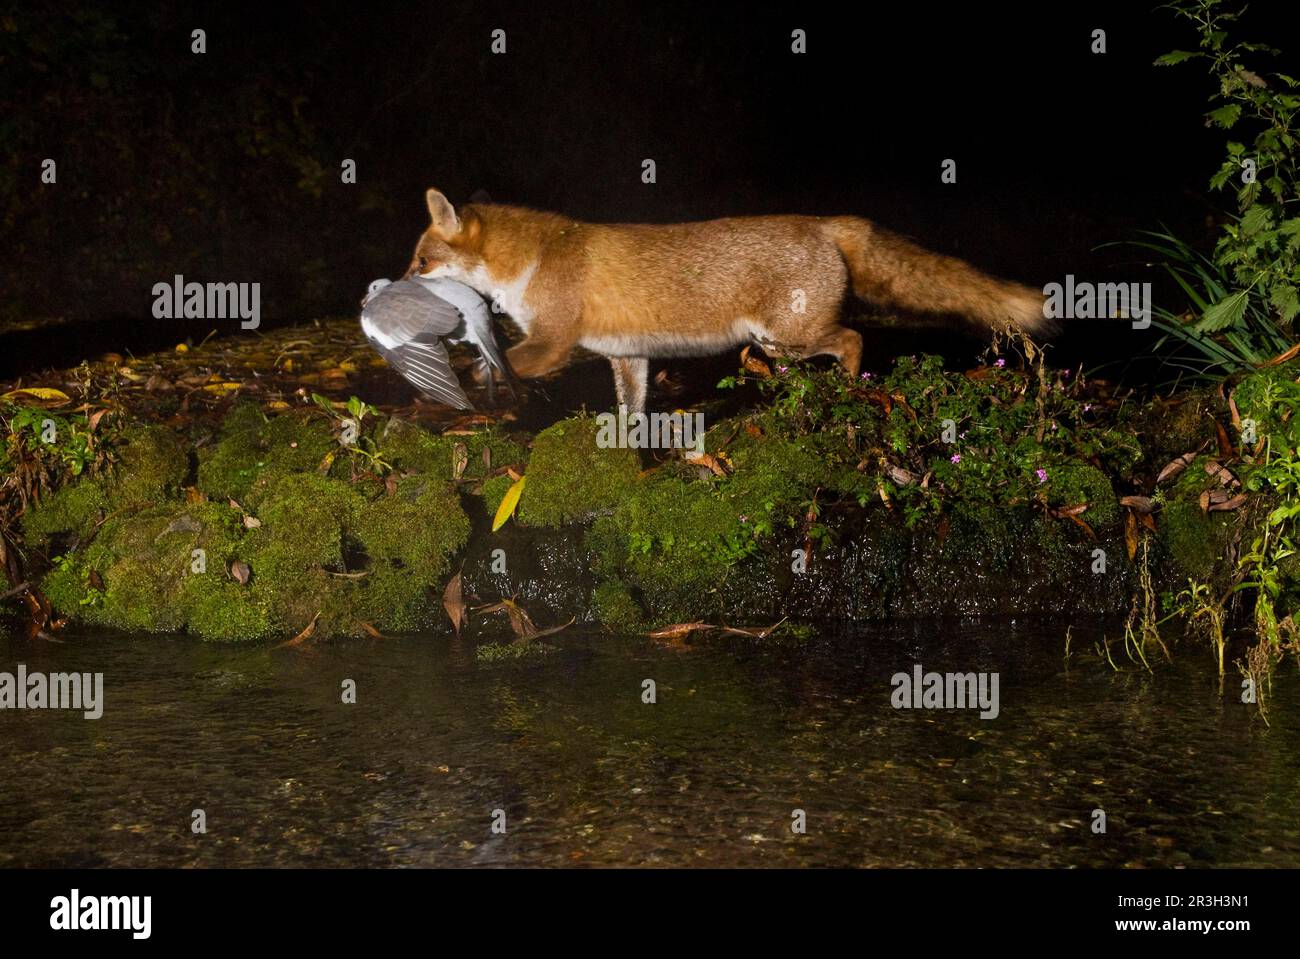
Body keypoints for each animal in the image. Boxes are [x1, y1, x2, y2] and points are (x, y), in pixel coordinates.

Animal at [410, 188, 1050, 408]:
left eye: (420, 262)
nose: (395, 285)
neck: (532, 261)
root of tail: (824, 221)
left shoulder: (551, 344)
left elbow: (500, 365)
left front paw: (457, 385)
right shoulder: (627, 356)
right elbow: (631, 411)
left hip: (788, 336)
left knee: (853, 338)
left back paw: (848, 391)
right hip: (779, 346)